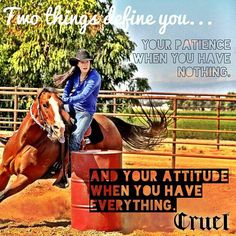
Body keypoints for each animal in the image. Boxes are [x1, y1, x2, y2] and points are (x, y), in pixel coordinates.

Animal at [0, 87, 168, 202]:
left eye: (61, 105)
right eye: (45, 104)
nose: (60, 128)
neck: (26, 143)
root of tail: (110, 121)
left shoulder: (26, 177)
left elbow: (2, 195)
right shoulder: (4, 170)